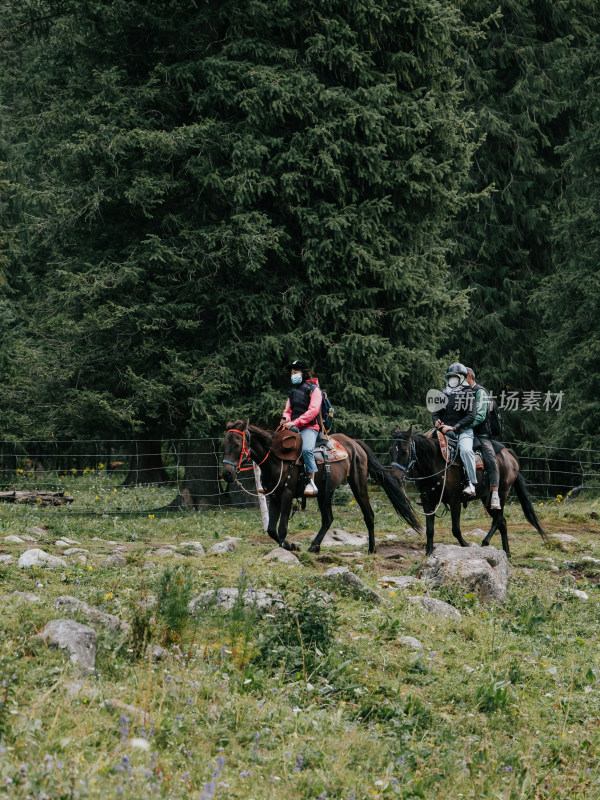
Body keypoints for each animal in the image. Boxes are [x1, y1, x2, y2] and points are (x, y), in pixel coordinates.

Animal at [220, 422, 422, 552]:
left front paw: (290, 546)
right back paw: (314, 546)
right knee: (328, 519)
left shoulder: (286, 495)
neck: (277, 459)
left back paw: (371, 549)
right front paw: (287, 546)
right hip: (325, 493)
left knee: (369, 514)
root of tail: (355, 444)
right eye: (223, 444)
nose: (227, 474)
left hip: (358, 485)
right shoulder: (274, 497)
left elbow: (282, 527)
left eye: (237, 444)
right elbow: (271, 529)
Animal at [390, 432, 548, 556]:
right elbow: (429, 530)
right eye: (391, 451)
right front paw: (428, 553)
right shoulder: (427, 502)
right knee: (502, 522)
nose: (395, 477)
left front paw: (465, 545)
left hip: (501, 493)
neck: (434, 463)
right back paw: (507, 553)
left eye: (405, 451)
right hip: (486, 499)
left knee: (498, 519)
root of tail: (508, 453)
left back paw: (485, 542)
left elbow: (455, 529)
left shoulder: (454, 501)